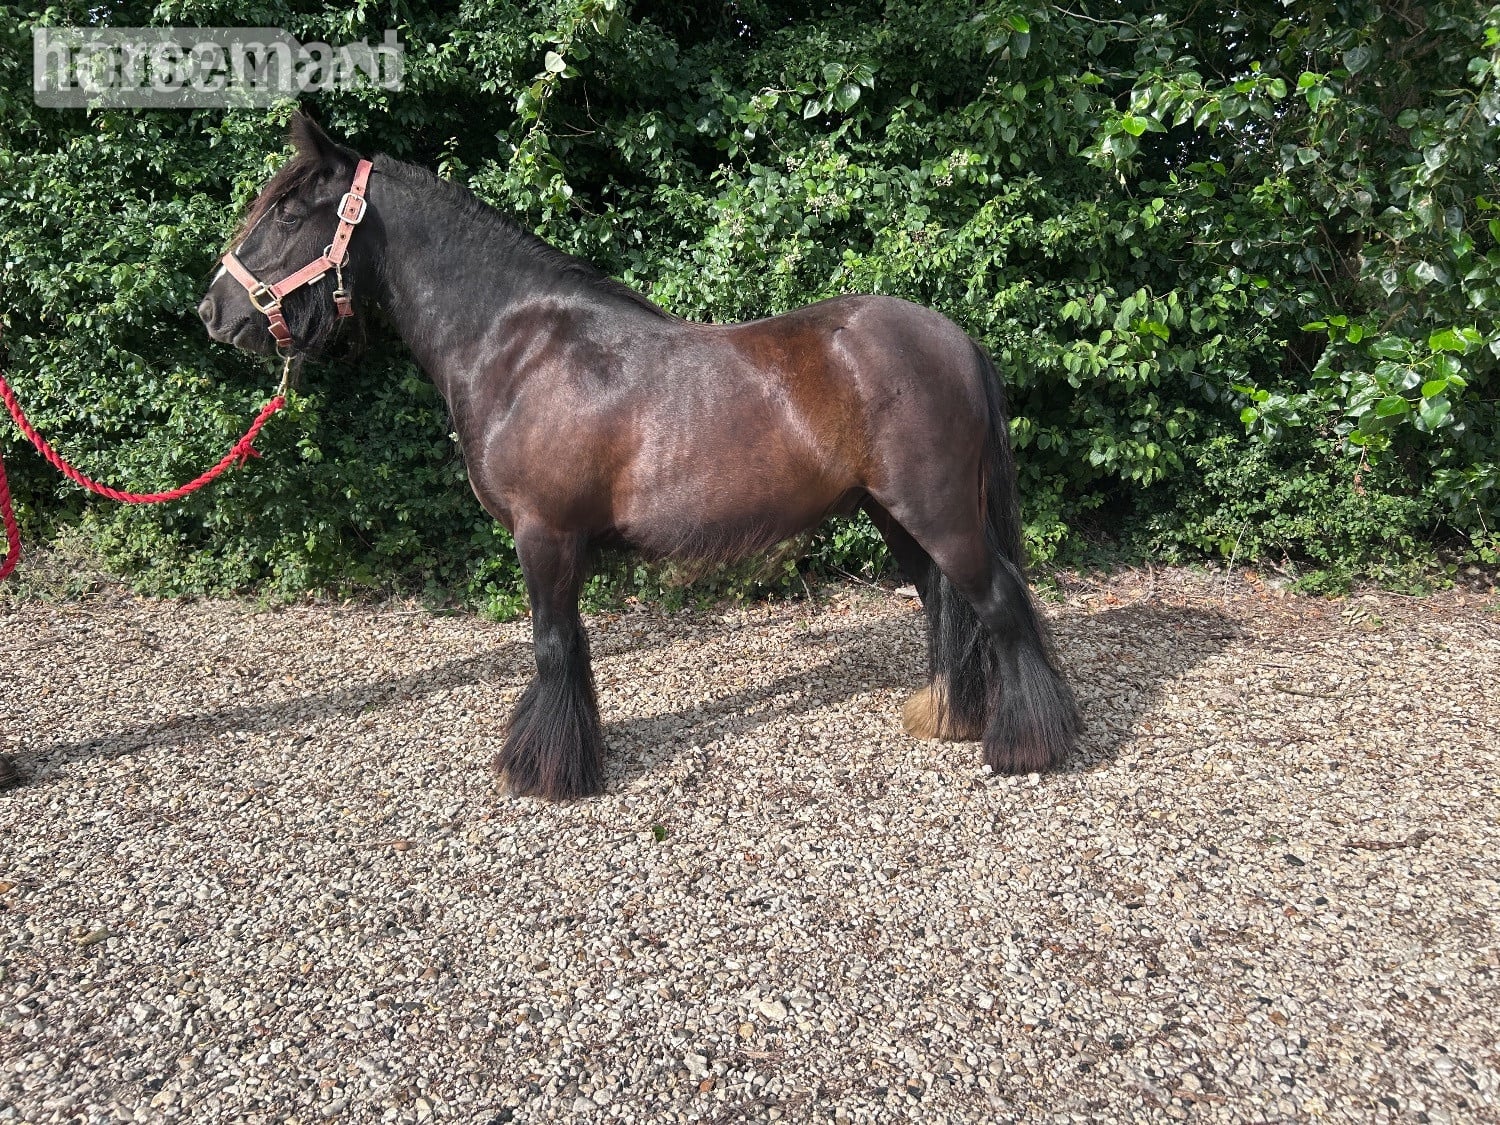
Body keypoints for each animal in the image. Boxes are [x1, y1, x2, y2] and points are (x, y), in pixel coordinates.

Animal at [197, 113, 1079, 801]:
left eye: (286, 212)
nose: (214, 309)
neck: (515, 345)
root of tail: (954, 338)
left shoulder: (546, 534)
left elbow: (554, 644)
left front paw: (546, 770)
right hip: (895, 514)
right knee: (944, 602)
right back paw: (950, 717)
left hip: (939, 511)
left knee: (1000, 601)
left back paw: (1028, 744)